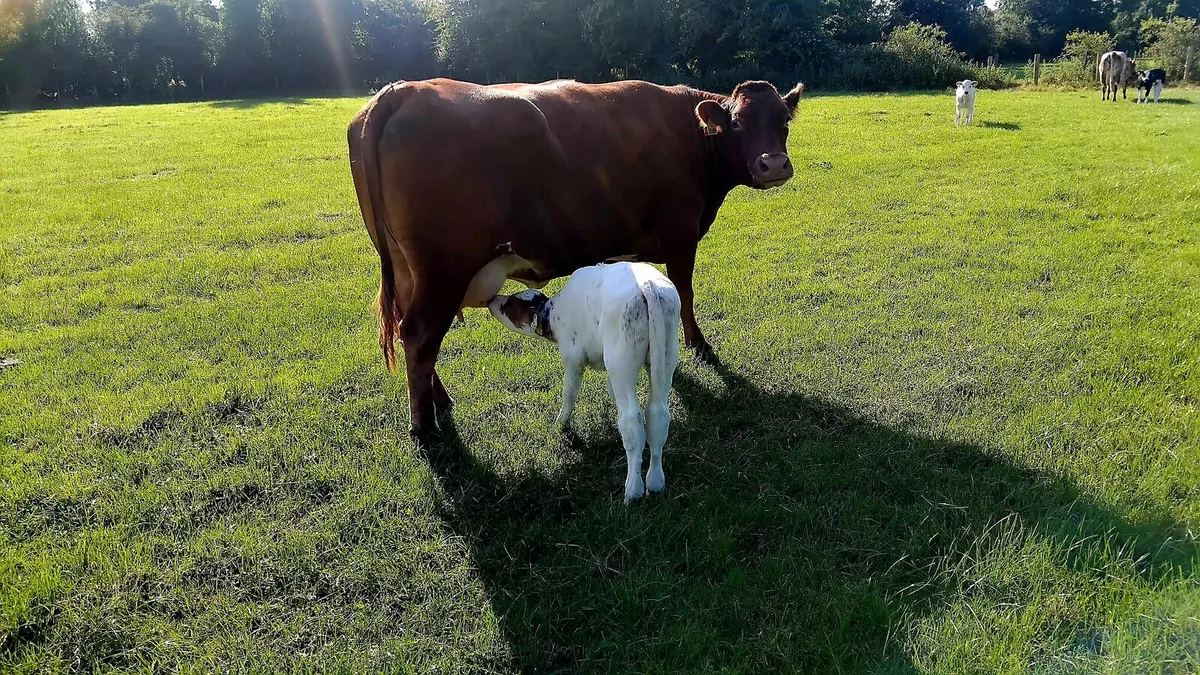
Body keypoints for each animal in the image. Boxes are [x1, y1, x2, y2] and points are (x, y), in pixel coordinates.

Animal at [347, 78, 803, 443]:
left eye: (784, 120)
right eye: (739, 122)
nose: (774, 164)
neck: (689, 135)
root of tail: (403, 90)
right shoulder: (680, 232)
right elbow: (685, 292)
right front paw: (700, 346)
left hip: (410, 273)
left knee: (410, 333)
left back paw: (437, 401)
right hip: (443, 271)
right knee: (421, 336)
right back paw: (425, 426)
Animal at [487, 262, 681, 504]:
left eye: (511, 304)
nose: (491, 300)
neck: (554, 312)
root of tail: (648, 285)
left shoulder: (573, 359)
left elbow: (569, 394)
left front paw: (560, 424)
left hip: (621, 363)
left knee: (632, 420)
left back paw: (633, 489)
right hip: (666, 357)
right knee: (657, 414)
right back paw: (655, 482)